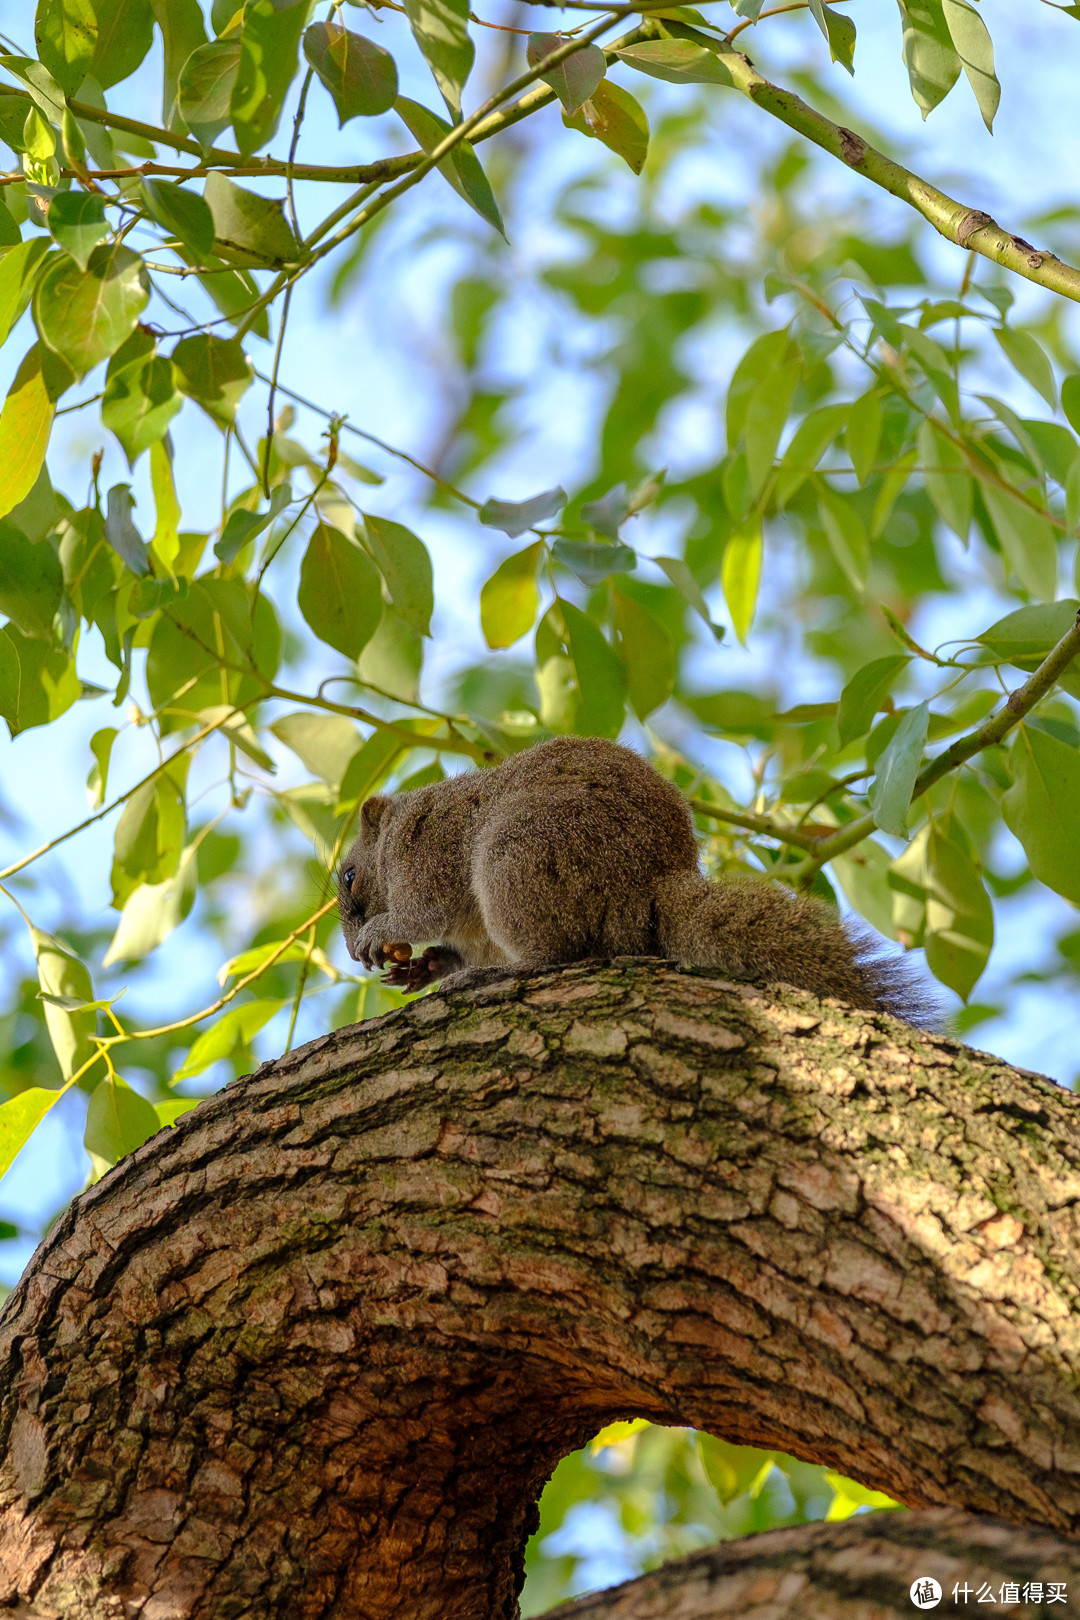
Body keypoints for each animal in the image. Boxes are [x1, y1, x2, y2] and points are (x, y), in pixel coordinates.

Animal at [340, 732, 932, 1010]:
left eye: (347, 877)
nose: (348, 950)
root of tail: (644, 887)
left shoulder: (429, 850)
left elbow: (424, 910)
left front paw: (384, 932)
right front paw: (425, 966)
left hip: (520, 858)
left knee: (555, 956)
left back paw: (497, 975)